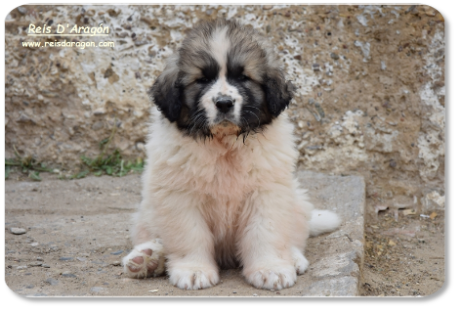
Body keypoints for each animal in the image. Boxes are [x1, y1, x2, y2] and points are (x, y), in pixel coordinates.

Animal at [123, 20, 342, 292]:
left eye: (243, 78)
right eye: (202, 79)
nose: (224, 103)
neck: (224, 144)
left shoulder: (267, 192)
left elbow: (265, 232)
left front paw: (271, 268)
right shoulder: (179, 197)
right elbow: (190, 234)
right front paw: (193, 269)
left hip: (296, 202)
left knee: (293, 235)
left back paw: (291, 258)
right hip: (147, 211)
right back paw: (147, 258)